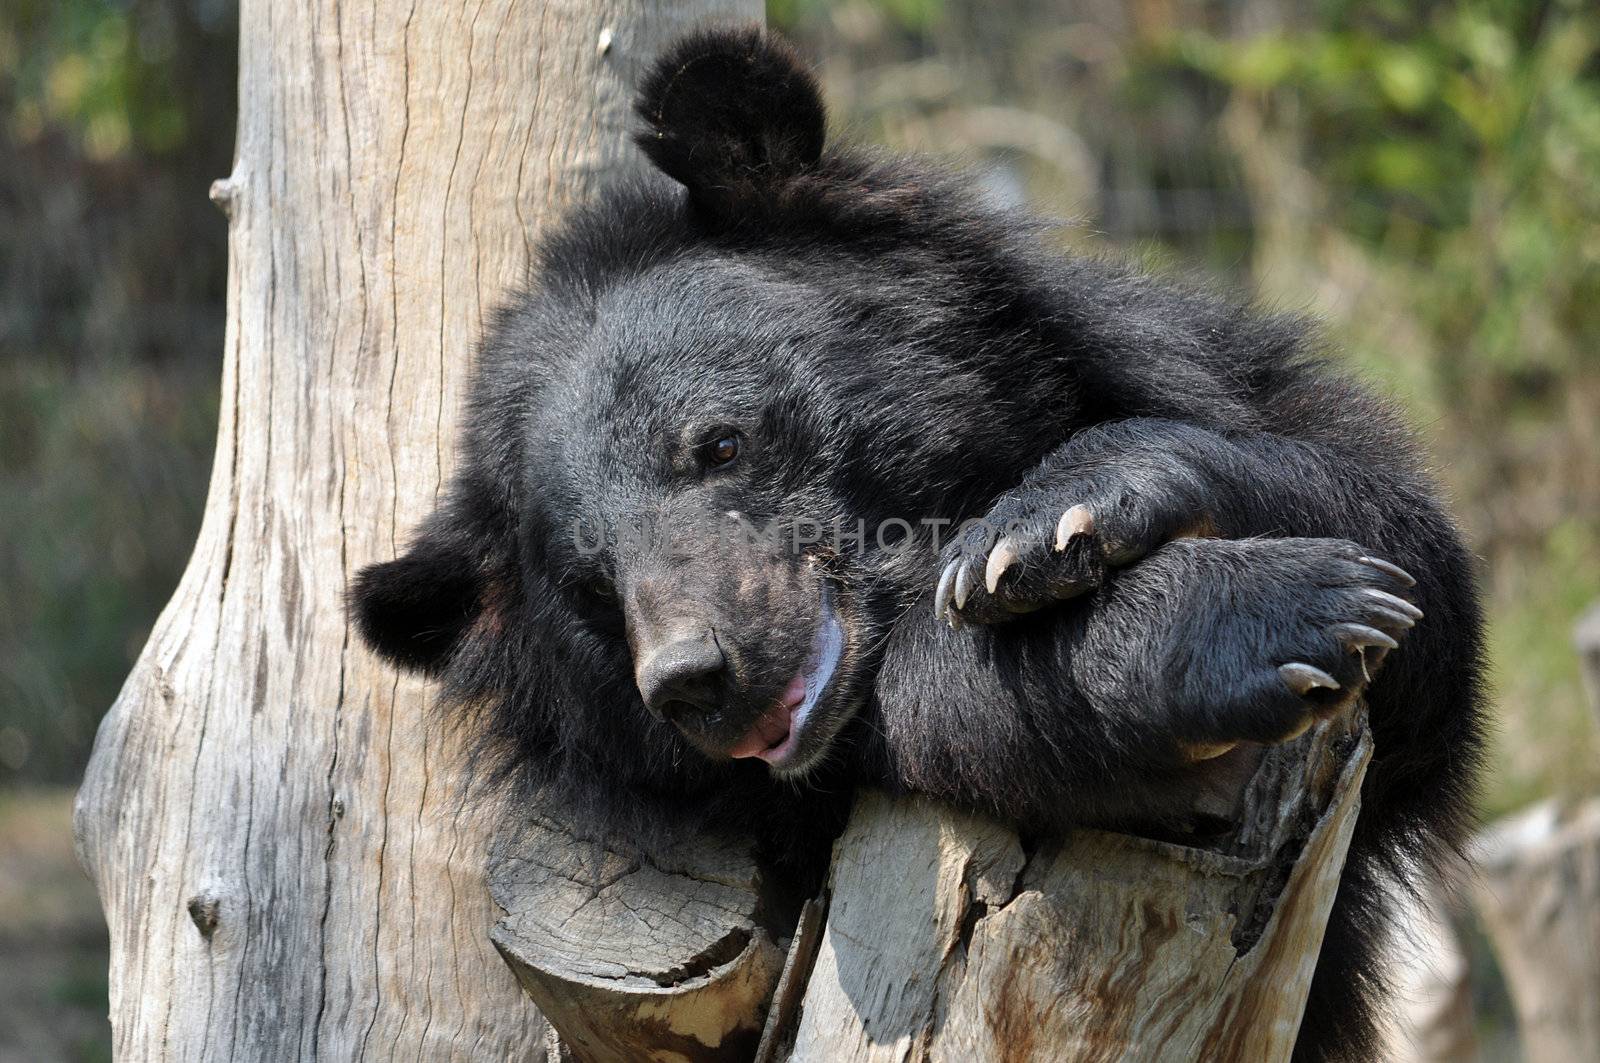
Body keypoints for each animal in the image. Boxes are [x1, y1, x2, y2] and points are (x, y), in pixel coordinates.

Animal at [353, 27, 1484, 1063]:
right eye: (591, 584)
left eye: (718, 444)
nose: (694, 679)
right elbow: (939, 696)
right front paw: (1268, 619)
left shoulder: (1191, 370)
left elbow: (1413, 569)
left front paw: (1049, 524)